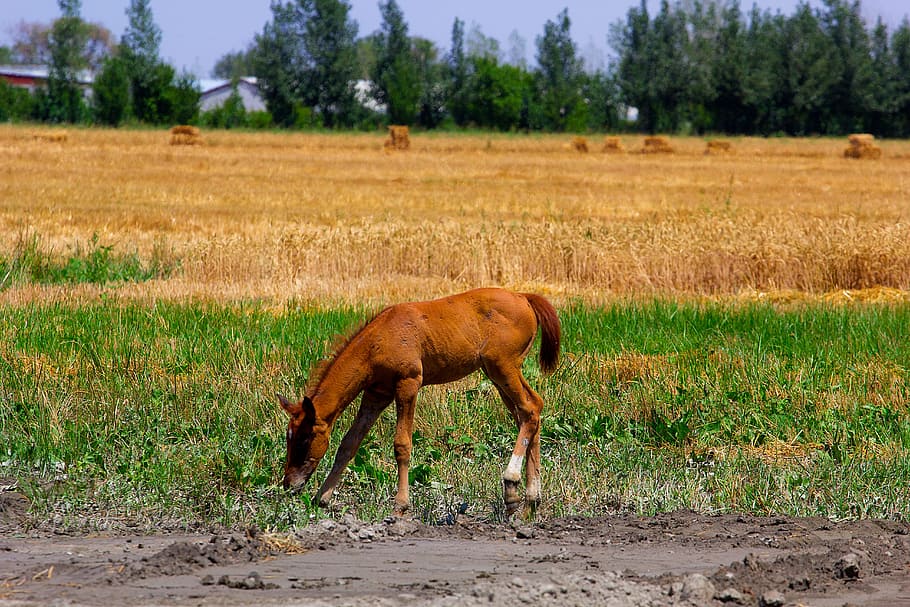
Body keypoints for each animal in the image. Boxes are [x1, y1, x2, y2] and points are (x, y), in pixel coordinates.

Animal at [278, 287, 561, 517]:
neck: (379, 339)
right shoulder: (376, 394)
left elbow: (402, 444)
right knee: (531, 411)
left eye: (304, 439)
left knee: (529, 409)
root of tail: (523, 296)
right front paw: (322, 498)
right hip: (496, 373)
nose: (288, 483)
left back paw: (512, 483)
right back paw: (528, 501)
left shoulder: (408, 383)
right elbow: (349, 444)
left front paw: (400, 505)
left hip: (503, 366)